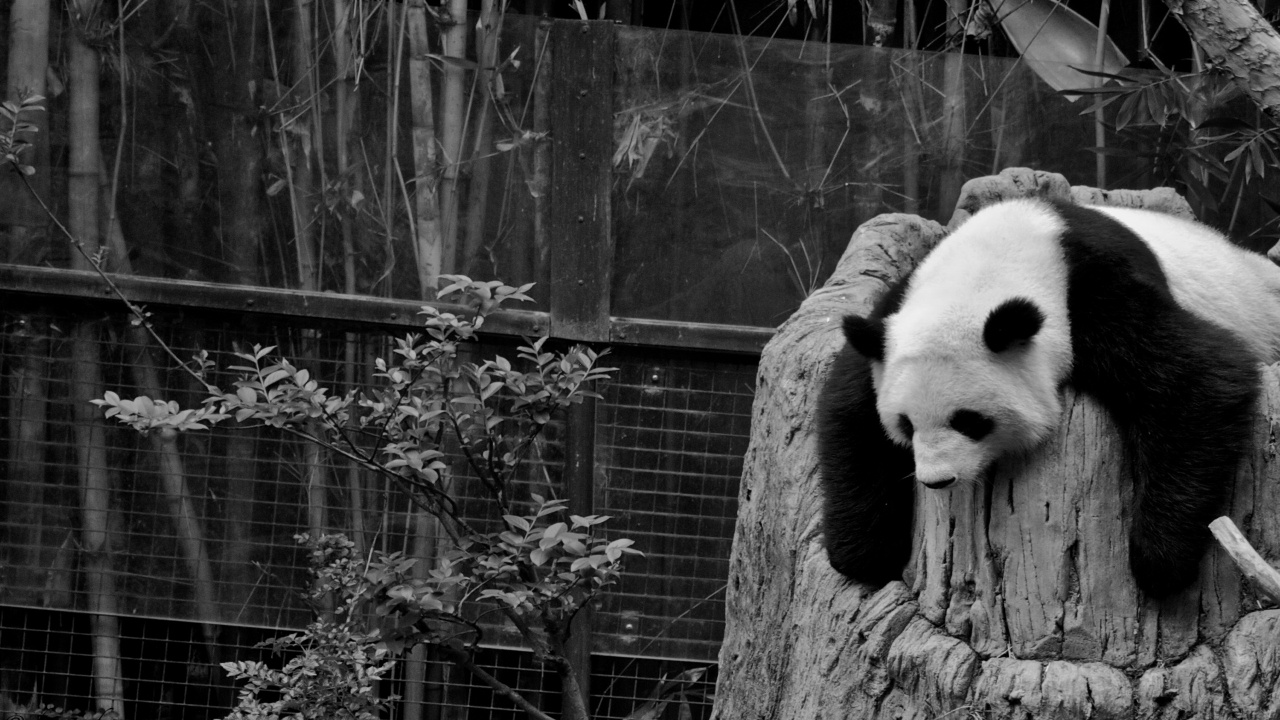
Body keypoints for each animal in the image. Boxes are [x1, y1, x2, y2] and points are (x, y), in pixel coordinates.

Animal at [817, 197, 1280, 598]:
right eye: (906, 424)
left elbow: (1200, 375)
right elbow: (849, 408)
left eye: (969, 421)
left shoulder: (1093, 292)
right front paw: (862, 554)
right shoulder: (895, 312)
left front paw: (1159, 563)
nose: (937, 480)